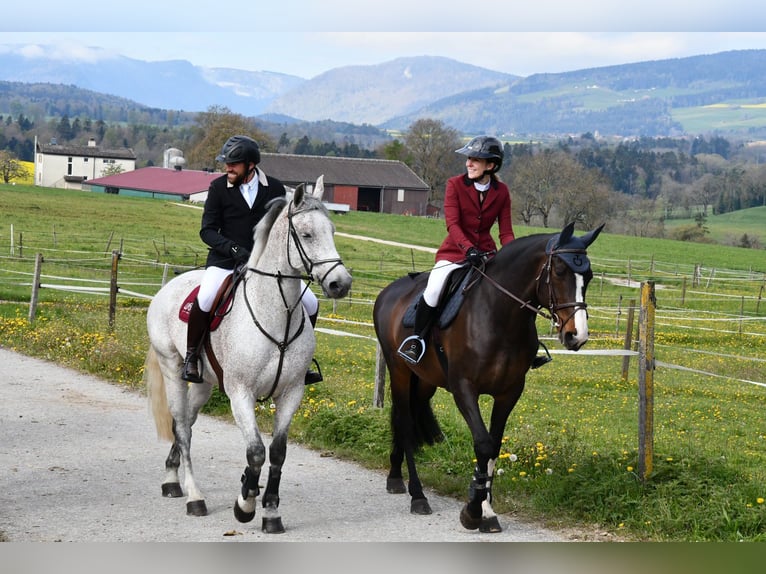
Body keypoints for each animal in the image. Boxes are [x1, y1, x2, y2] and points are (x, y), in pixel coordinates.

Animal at [374, 222, 608, 536]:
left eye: (589, 276)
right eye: (559, 271)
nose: (577, 336)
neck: (499, 315)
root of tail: (389, 291)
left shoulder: (509, 392)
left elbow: (494, 447)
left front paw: (486, 510)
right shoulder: (464, 388)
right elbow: (483, 444)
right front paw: (473, 510)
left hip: (424, 381)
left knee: (408, 415)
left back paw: (395, 477)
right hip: (399, 370)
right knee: (405, 421)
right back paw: (417, 495)